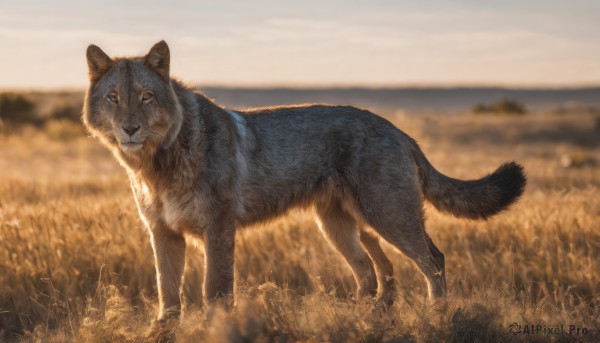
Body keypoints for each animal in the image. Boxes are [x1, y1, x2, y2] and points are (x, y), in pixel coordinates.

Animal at [83, 40, 524, 322]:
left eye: (146, 96)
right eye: (113, 98)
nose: (130, 129)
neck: (157, 162)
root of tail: (397, 129)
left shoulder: (218, 229)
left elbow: (215, 291)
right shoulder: (163, 233)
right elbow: (168, 294)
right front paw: (164, 332)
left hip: (389, 218)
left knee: (431, 260)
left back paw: (436, 315)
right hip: (342, 226)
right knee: (374, 270)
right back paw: (366, 316)